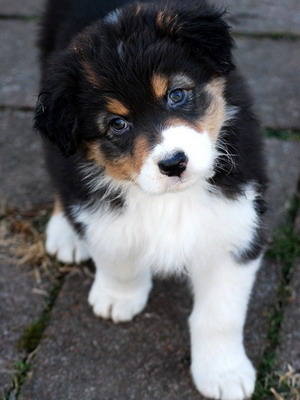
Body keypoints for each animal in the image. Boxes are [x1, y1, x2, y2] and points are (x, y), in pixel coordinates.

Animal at [34, 0, 268, 398]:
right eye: (117, 124)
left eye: (176, 94)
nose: (174, 163)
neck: (172, 199)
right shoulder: (95, 200)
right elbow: (116, 251)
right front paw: (119, 297)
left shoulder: (236, 221)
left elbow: (219, 315)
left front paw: (224, 374)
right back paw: (65, 232)